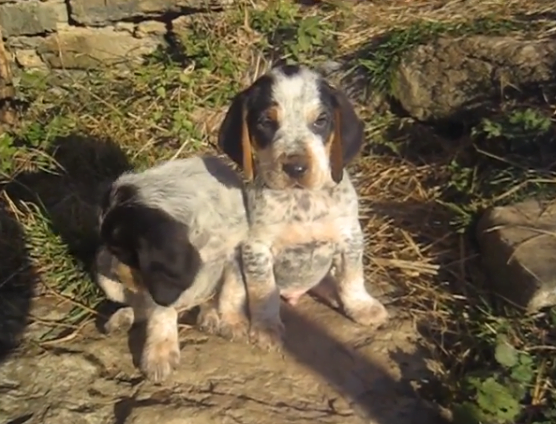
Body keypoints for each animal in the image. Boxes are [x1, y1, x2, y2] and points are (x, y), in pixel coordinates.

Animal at [95, 155, 248, 380]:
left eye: (119, 250)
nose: (101, 264)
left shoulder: (237, 248)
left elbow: (233, 287)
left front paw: (234, 322)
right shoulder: (157, 281)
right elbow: (161, 310)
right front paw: (159, 354)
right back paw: (122, 318)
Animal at [202, 63, 388, 352]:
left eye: (321, 120)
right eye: (266, 122)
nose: (296, 168)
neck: (303, 201)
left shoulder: (350, 236)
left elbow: (352, 277)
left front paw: (361, 306)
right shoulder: (256, 248)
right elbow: (262, 292)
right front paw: (266, 328)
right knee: (227, 294)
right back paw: (223, 320)